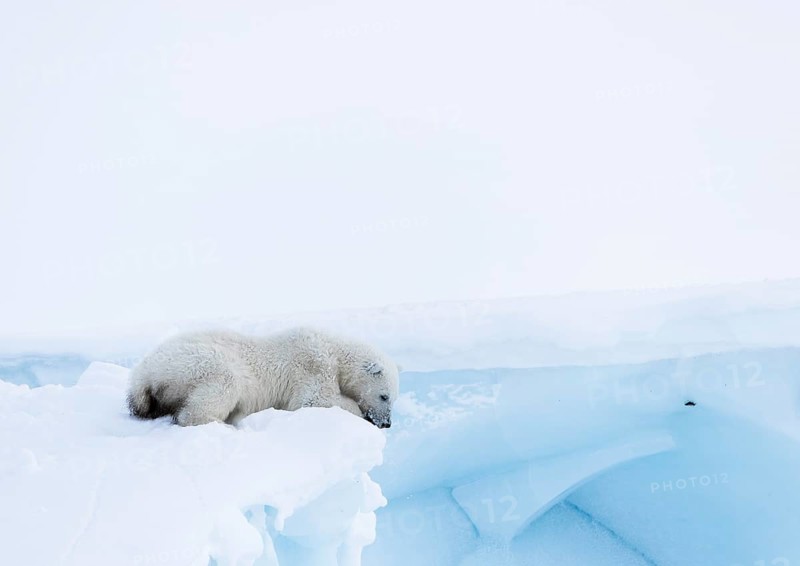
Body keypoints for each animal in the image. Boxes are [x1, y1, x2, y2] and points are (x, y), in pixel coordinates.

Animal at [126, 327, 400, 428]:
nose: (386, 424)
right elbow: (314, 400)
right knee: (223, 384)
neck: (334, 351)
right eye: (384, 396)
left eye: (393, 399)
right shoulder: (312, 365)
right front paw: (358, 411)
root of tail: (141, 376)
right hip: (191, 364)